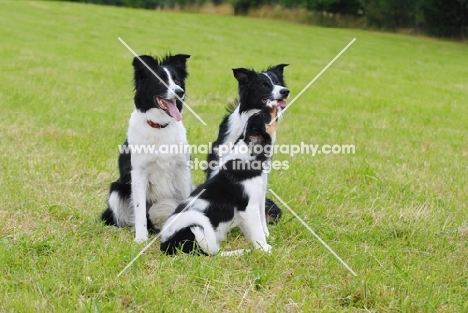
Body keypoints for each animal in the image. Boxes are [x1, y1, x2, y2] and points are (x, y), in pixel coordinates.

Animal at [101, 53, 192, 241]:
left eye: (177, 80)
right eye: (160, 81)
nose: (180, 92)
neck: (159, 126)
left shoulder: (183, 170)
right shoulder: (138, 174)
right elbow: (140, 210)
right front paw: (141, 238)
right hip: (116, 190)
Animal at [159, 103, 280, 255]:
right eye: (263, 114)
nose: (272, 103)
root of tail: (165, 244)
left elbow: (252, 233)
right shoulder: (249, 208)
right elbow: (258, 232)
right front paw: (264, 249)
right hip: (196, 224)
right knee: (211, 253)